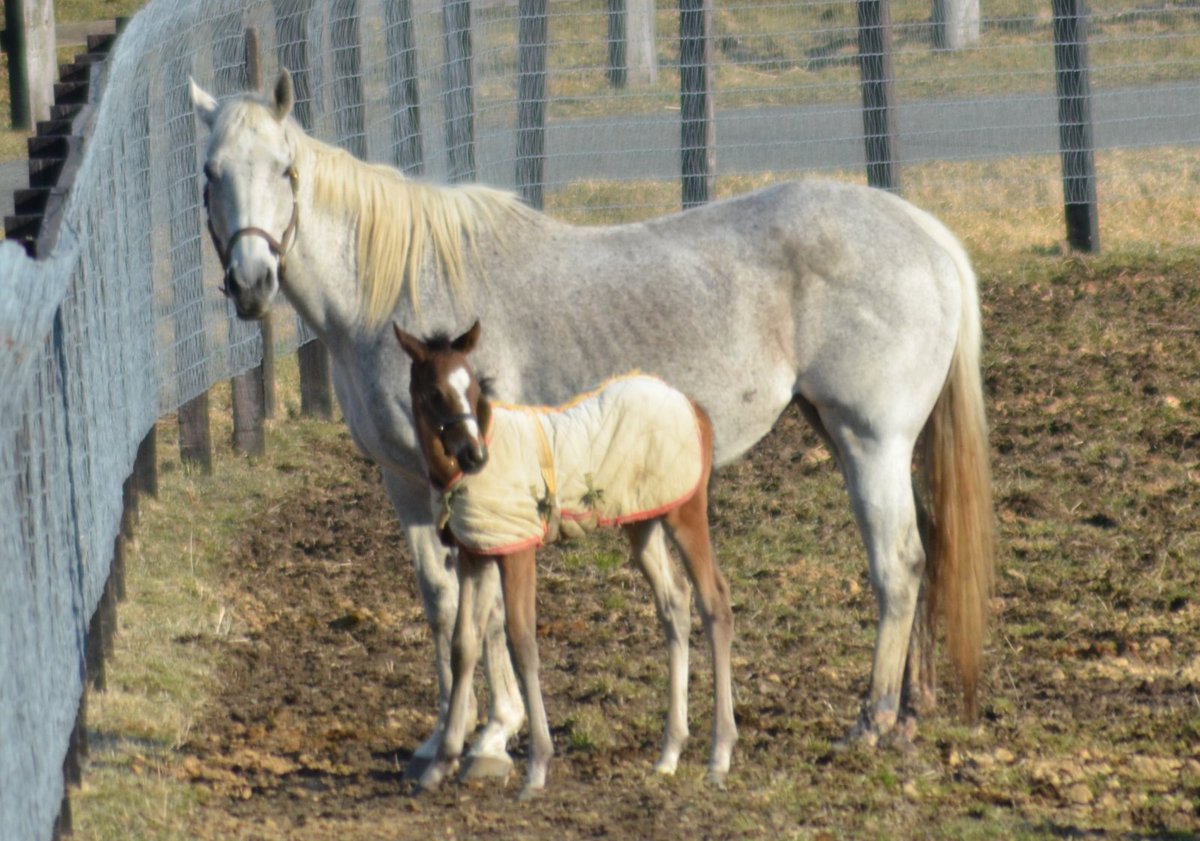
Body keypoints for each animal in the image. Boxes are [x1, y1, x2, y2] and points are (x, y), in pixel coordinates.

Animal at [393, 320, 736, 795]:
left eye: (474, 385)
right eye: (434, 393)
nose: (474, 455)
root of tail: (692, 405)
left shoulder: (517, 551)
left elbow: (522, 640)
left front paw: (537, 766)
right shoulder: (477, 553)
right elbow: (464, 644)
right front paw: (440, 765)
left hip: (684, 514)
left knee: (714, 601)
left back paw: (719, 755)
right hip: (642, 523)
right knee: (675, 603)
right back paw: (669, 753)